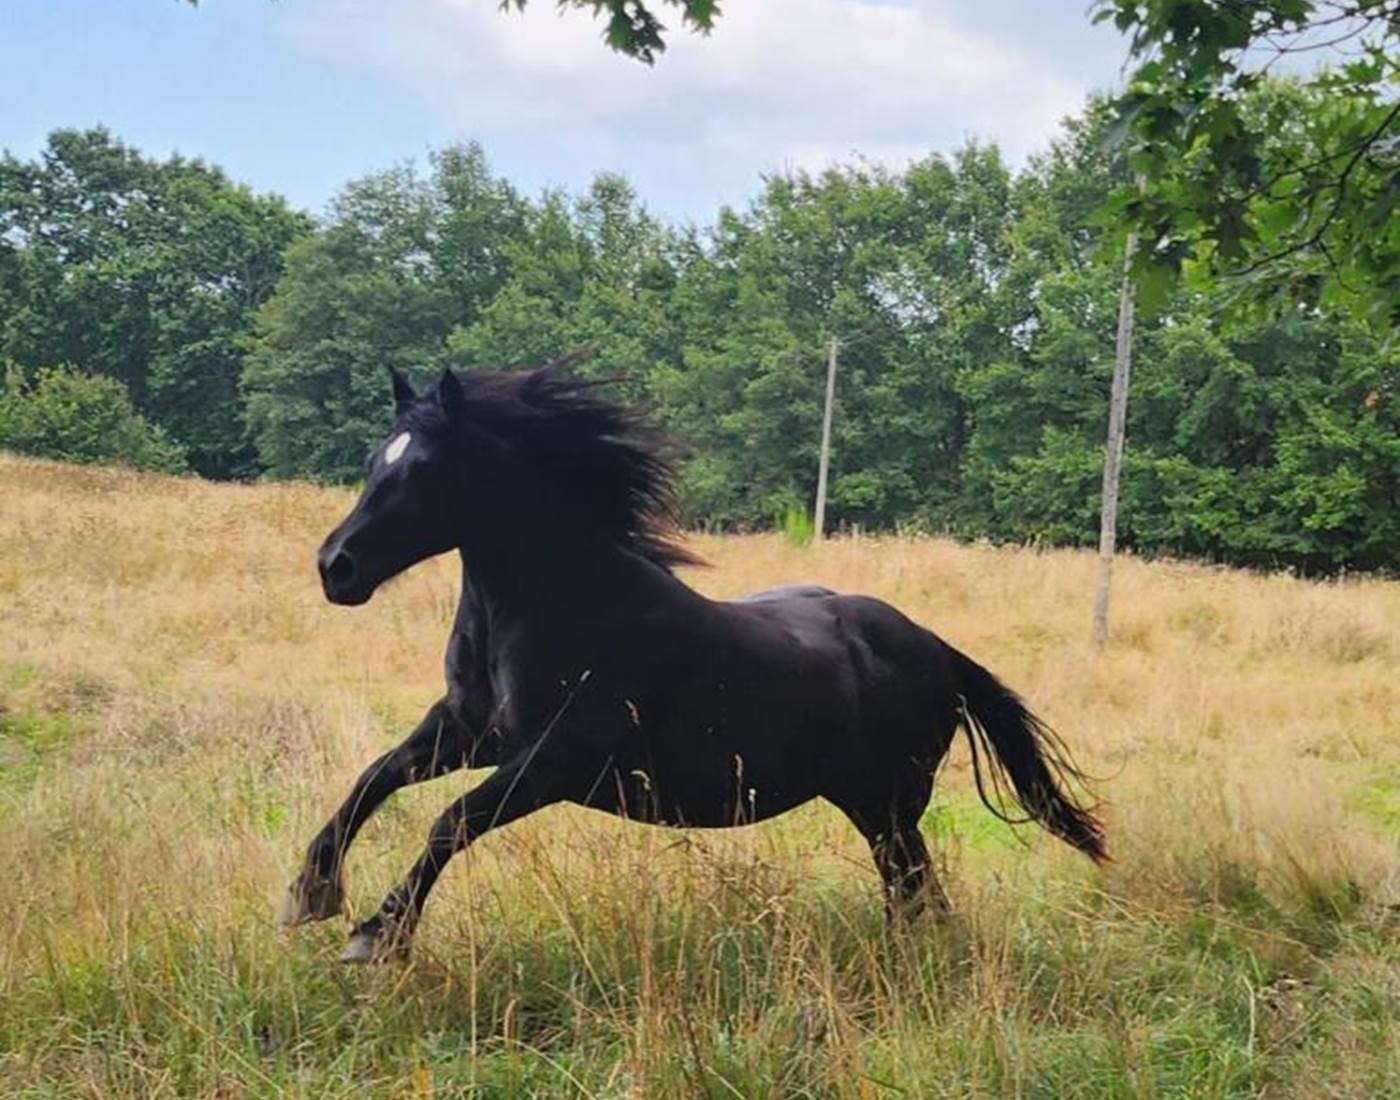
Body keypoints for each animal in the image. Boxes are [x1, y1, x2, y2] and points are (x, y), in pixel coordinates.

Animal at [279, 363, 1107, 962]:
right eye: (373, 458)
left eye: (424, 469)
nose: (336, 568)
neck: (559, 601)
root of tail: (935, 647)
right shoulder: (467, 729)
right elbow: (374, 778)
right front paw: (310, 893)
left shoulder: (554, 761)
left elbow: (451, 821)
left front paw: (377, 935)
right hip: (871, 805)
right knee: (915, 895)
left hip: (889, 807)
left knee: (914, 892)